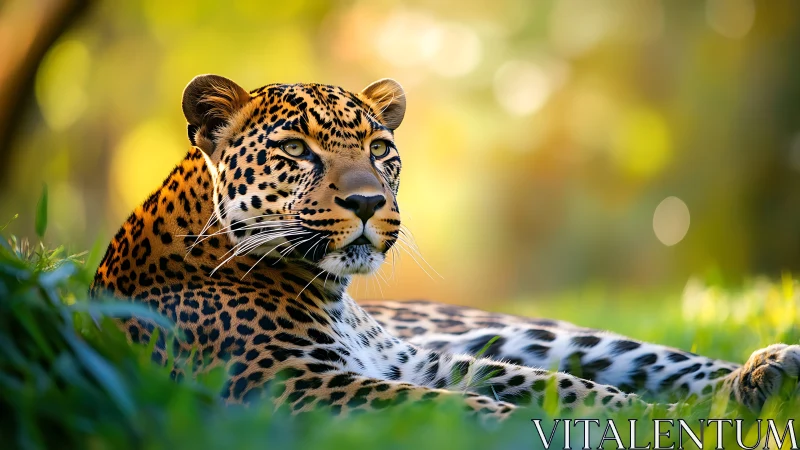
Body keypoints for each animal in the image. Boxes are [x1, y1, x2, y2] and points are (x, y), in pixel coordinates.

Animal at [91, 74, 800, 420]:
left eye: (380, 149)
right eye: (294, 150)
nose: (368, 203)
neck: (333, 294)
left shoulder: (414, 360)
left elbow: (545, 382)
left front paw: (643, 417)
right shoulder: (288, 382)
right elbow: (453, 404)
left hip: (528, 329)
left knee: (654, 360)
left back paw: (761, 375)